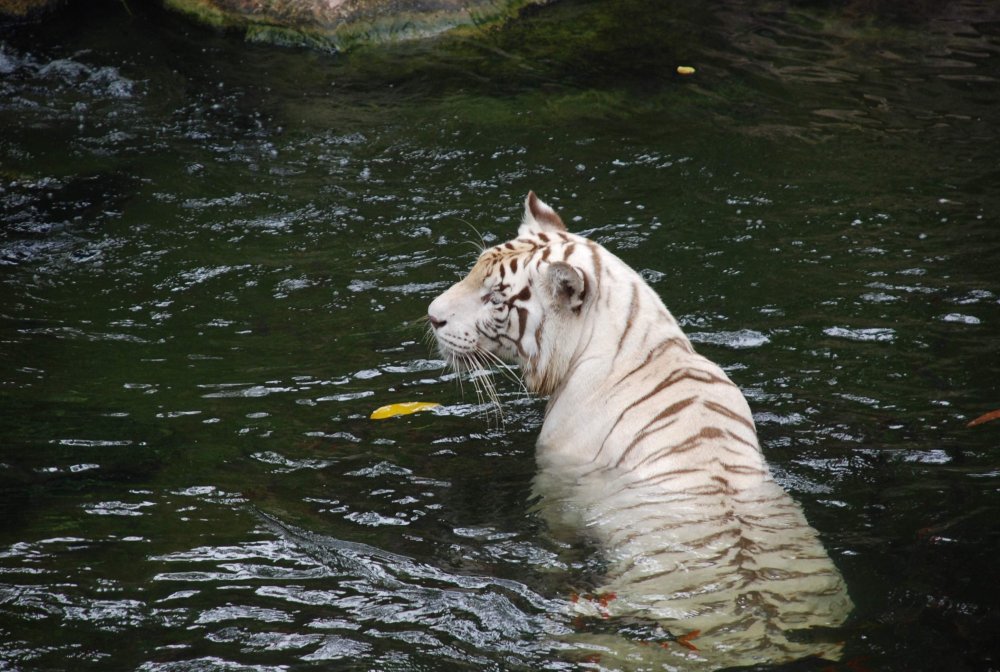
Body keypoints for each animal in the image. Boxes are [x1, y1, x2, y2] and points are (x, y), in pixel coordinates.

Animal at [428, 192, 852, 668]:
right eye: (473, 272)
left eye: (494, 298)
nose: (431, 317)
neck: (640, 344)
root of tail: (765, 637)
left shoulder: (557, 487)